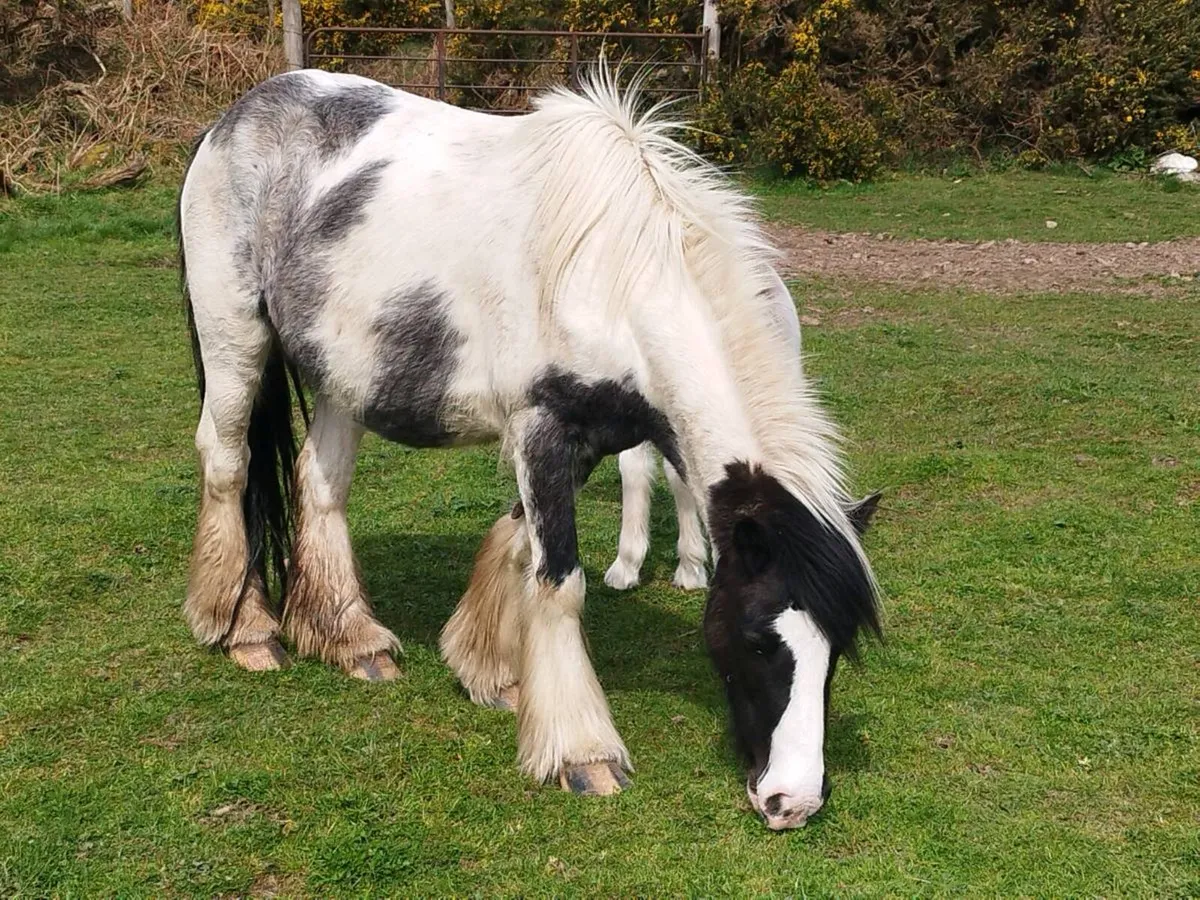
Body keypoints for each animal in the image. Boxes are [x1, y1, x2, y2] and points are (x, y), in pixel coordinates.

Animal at [177, 66, 881, 829]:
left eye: (836, 649)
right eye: (757, 637)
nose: (793, 801)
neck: (614, 277)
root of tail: (234, 118)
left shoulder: (584, 440)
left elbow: (519, 545)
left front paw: (488, 669)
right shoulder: (543, 427)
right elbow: (559, 581)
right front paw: (581, 752)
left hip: (345, 375)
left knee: (320, 483)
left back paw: (350, 639)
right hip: (235, 340)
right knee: (228, 464)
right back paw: (246, 631)